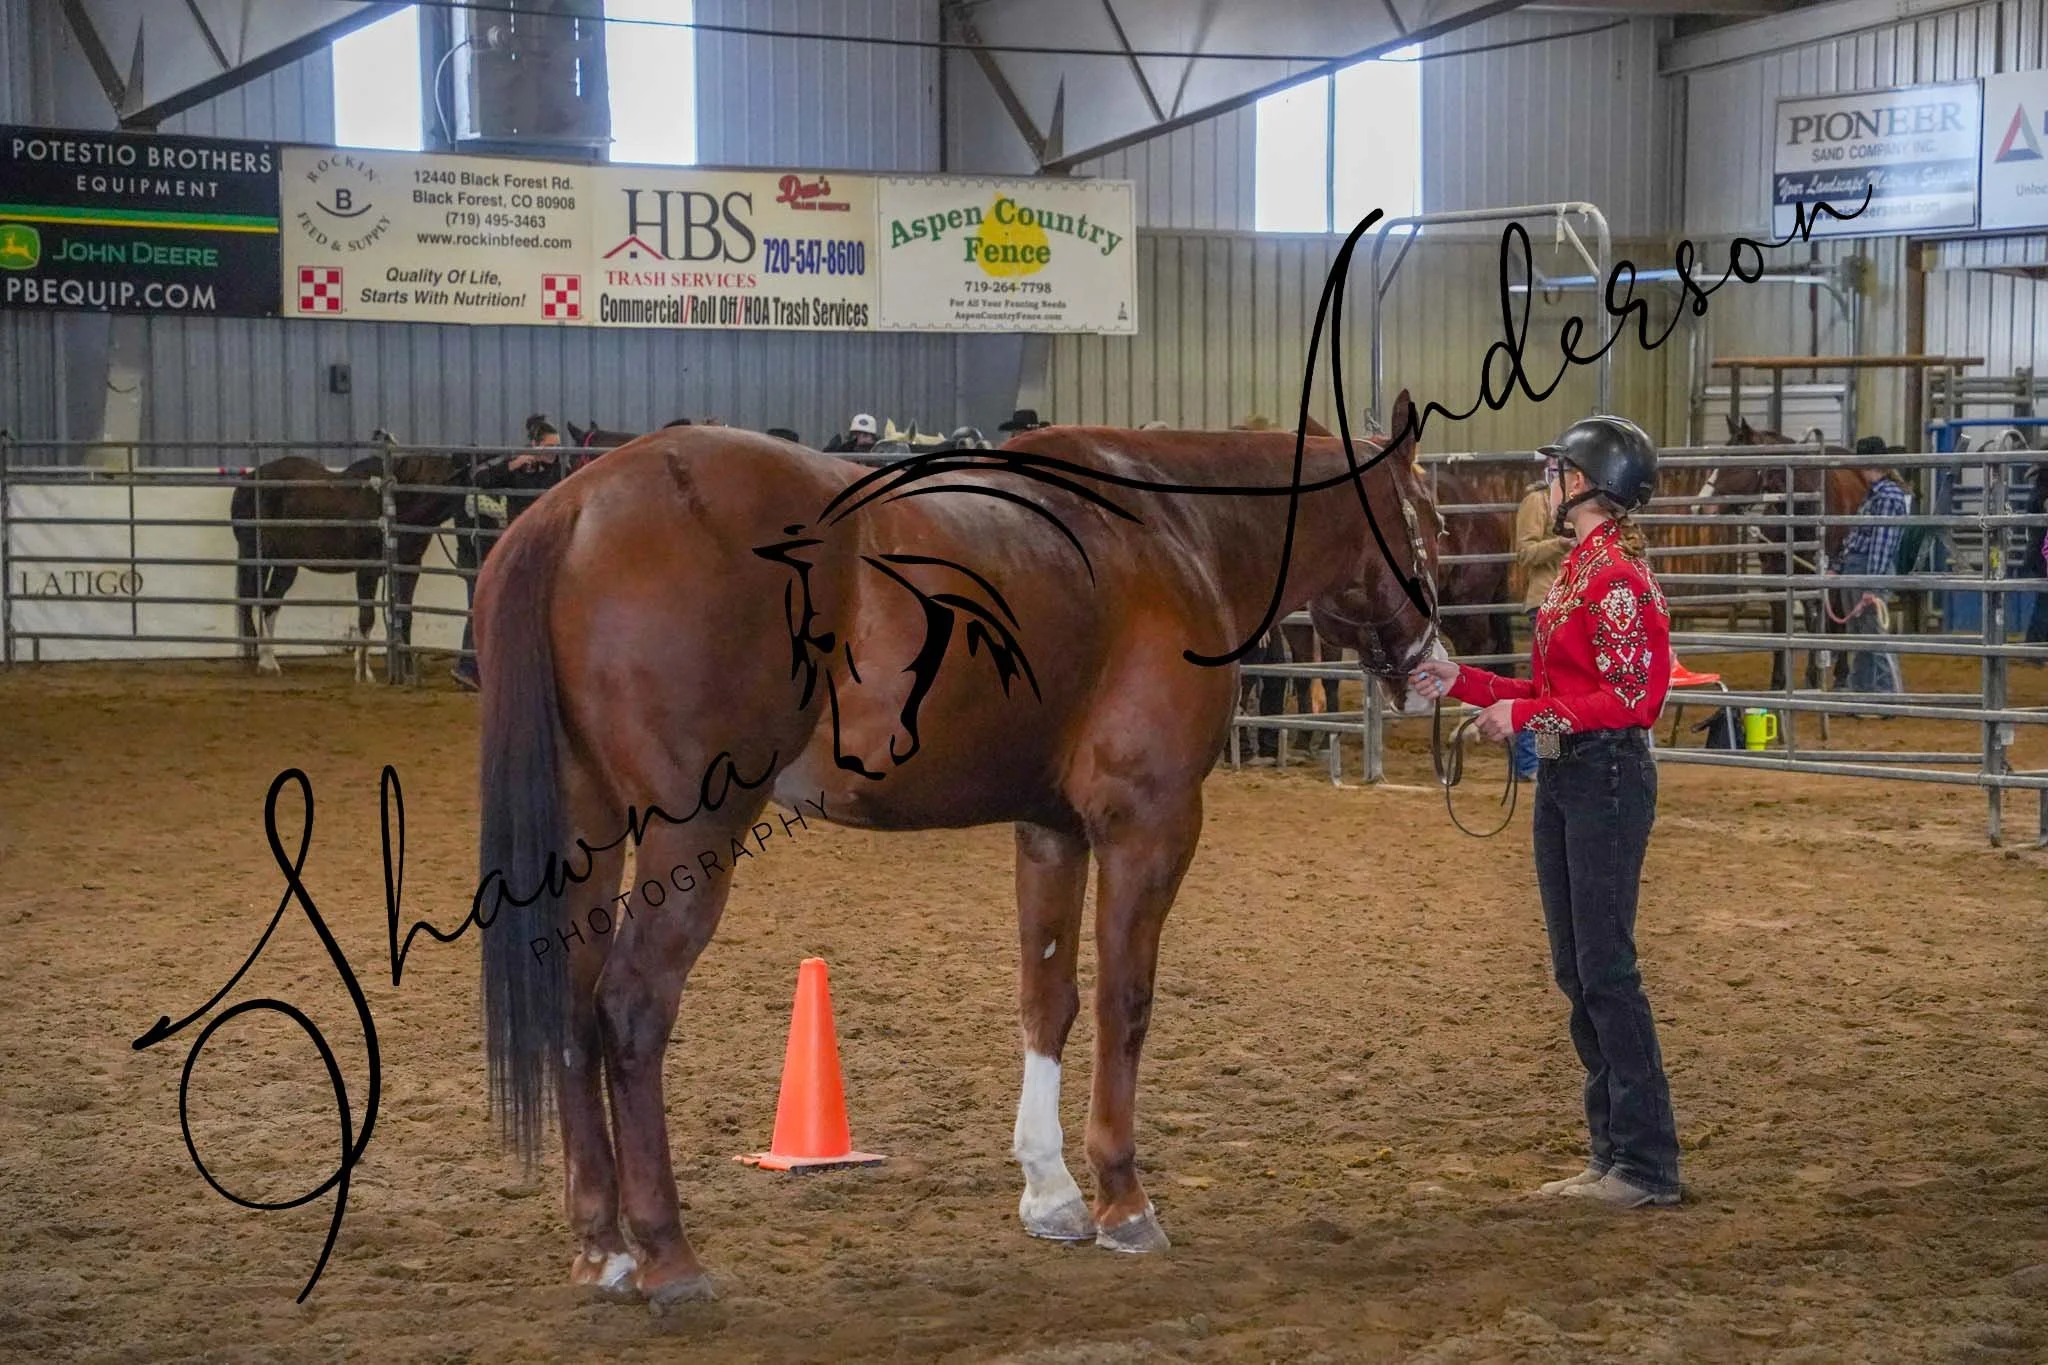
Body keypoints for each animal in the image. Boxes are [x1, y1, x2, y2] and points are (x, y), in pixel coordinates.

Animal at [229, 439, 473, 681]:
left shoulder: (409, 569)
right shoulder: (367, 570)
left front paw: (407, 671)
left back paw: (270, 661)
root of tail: (248, 481)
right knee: (253, 602)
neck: (392, 504)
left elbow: (405, 615)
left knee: (269, 604)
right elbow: (367, 617)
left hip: (285, 565)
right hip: (257, 558)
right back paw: (263, 661)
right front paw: (363, 671)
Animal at [468, 394, 1446, 1306]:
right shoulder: (1149, 822)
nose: (1432, 664)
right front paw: (1123, 1199)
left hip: (585, 833)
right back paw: (668, 1254)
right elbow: (1124, 1001)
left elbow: (1047, 1000)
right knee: (631, 1007)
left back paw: (603, 1247)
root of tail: (576, 507)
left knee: (570, 1003)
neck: (1173, 529)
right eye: (1430, 521)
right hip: (691, 836)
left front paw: (1052, 1194)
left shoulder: (1052, 829)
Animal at [1692, 417, 1881, 690]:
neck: (1801, 507)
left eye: (1736, 461)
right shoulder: (1776, 575)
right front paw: (1779, 681)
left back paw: (1840, 674)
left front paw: (1817, 676)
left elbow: (1817, 622)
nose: (1699, 506)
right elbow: (1781, 623)